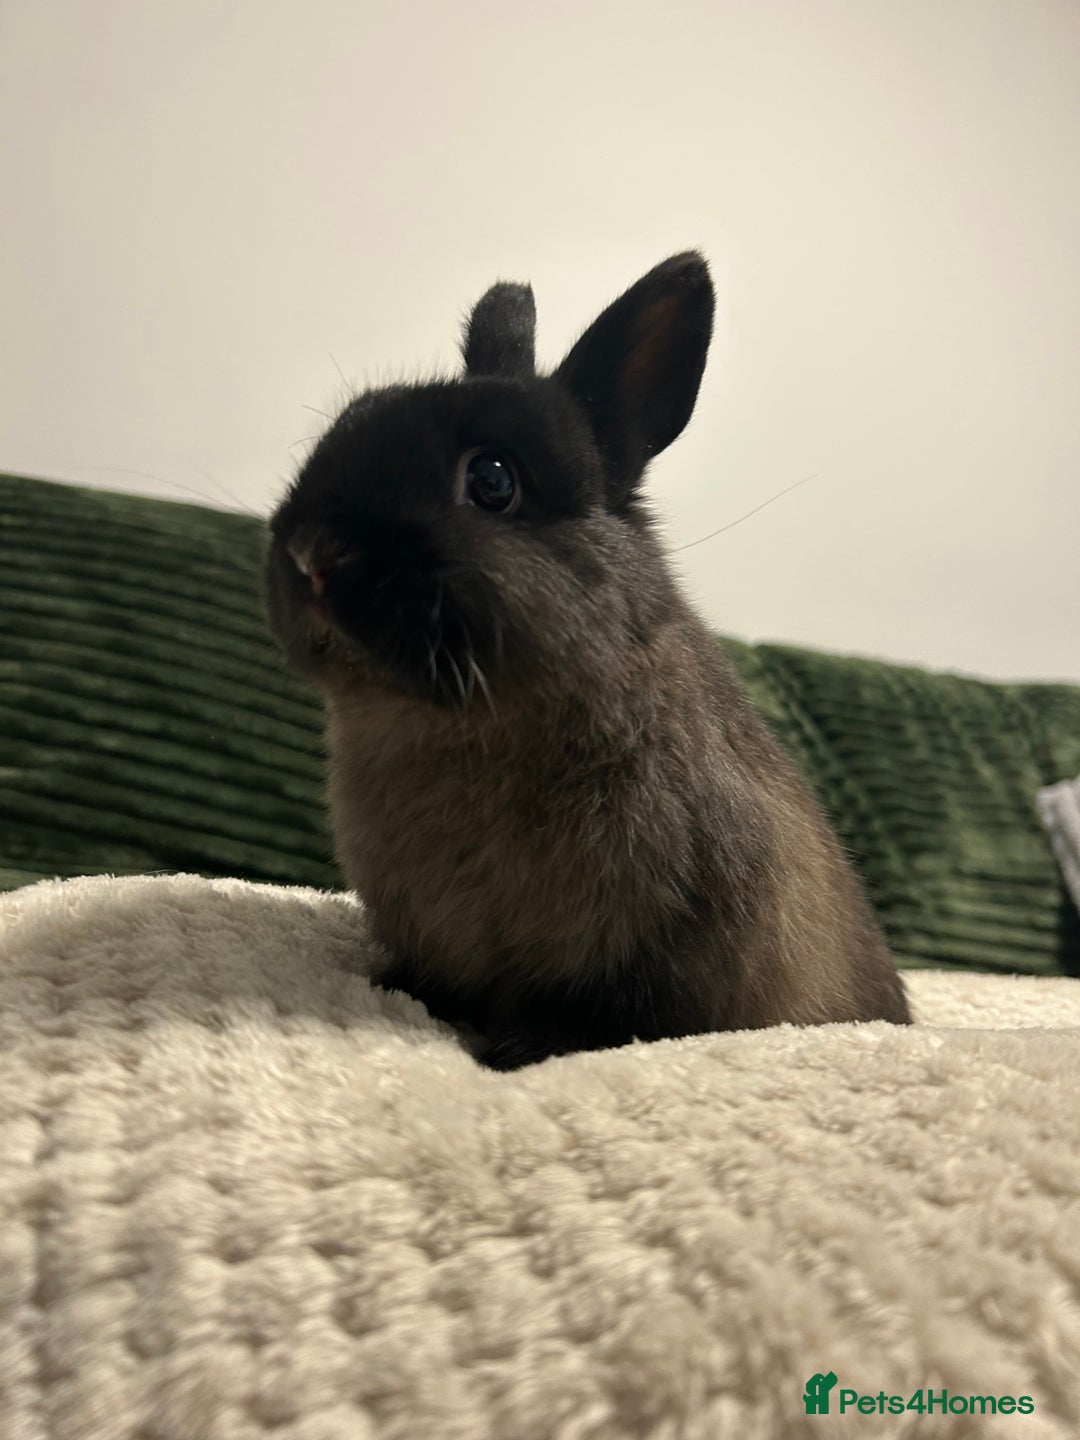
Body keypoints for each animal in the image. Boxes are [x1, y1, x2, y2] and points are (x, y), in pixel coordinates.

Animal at [265, 251, 911, 1069]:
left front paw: (520, 1048)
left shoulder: (667, 952)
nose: (313, 556)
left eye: (493, 480)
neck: (467, 728)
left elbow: (610, 1017)